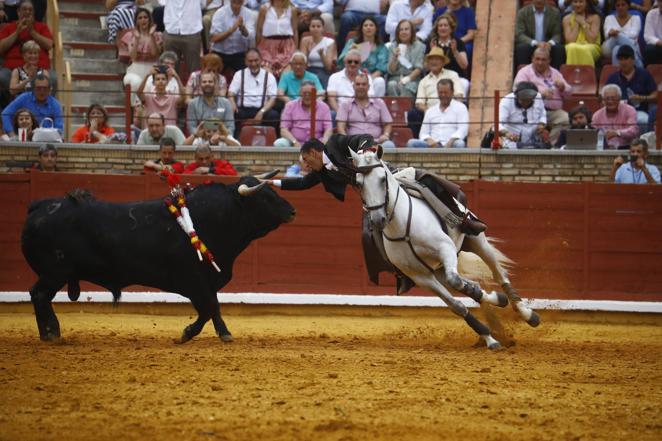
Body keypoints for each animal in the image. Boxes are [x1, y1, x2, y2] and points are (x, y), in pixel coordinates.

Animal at [20, 177, 296, 342]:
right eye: (265, 196)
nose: (292, 211)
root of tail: (40, 206)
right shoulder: (192, 280)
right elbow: (208, 307)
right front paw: (189, 333)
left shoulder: (207, 280)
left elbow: (214, 307)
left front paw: (222, 333)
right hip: (54, 273)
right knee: (39, 295)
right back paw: (51, 333)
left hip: (56, 275)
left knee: (39, 296)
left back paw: (48, 333)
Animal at [350, 148, 544, 350]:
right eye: (358, 183)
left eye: (382, 179)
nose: (378, 219)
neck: (403, 226)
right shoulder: (420, 276)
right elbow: (456, 304)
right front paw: (489, 337)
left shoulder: (446, 249)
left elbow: (457, 281)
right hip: (437, 270)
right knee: (468, 283)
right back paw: (497, 299)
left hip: (476, 241)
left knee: (498, 274)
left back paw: (527, 313)